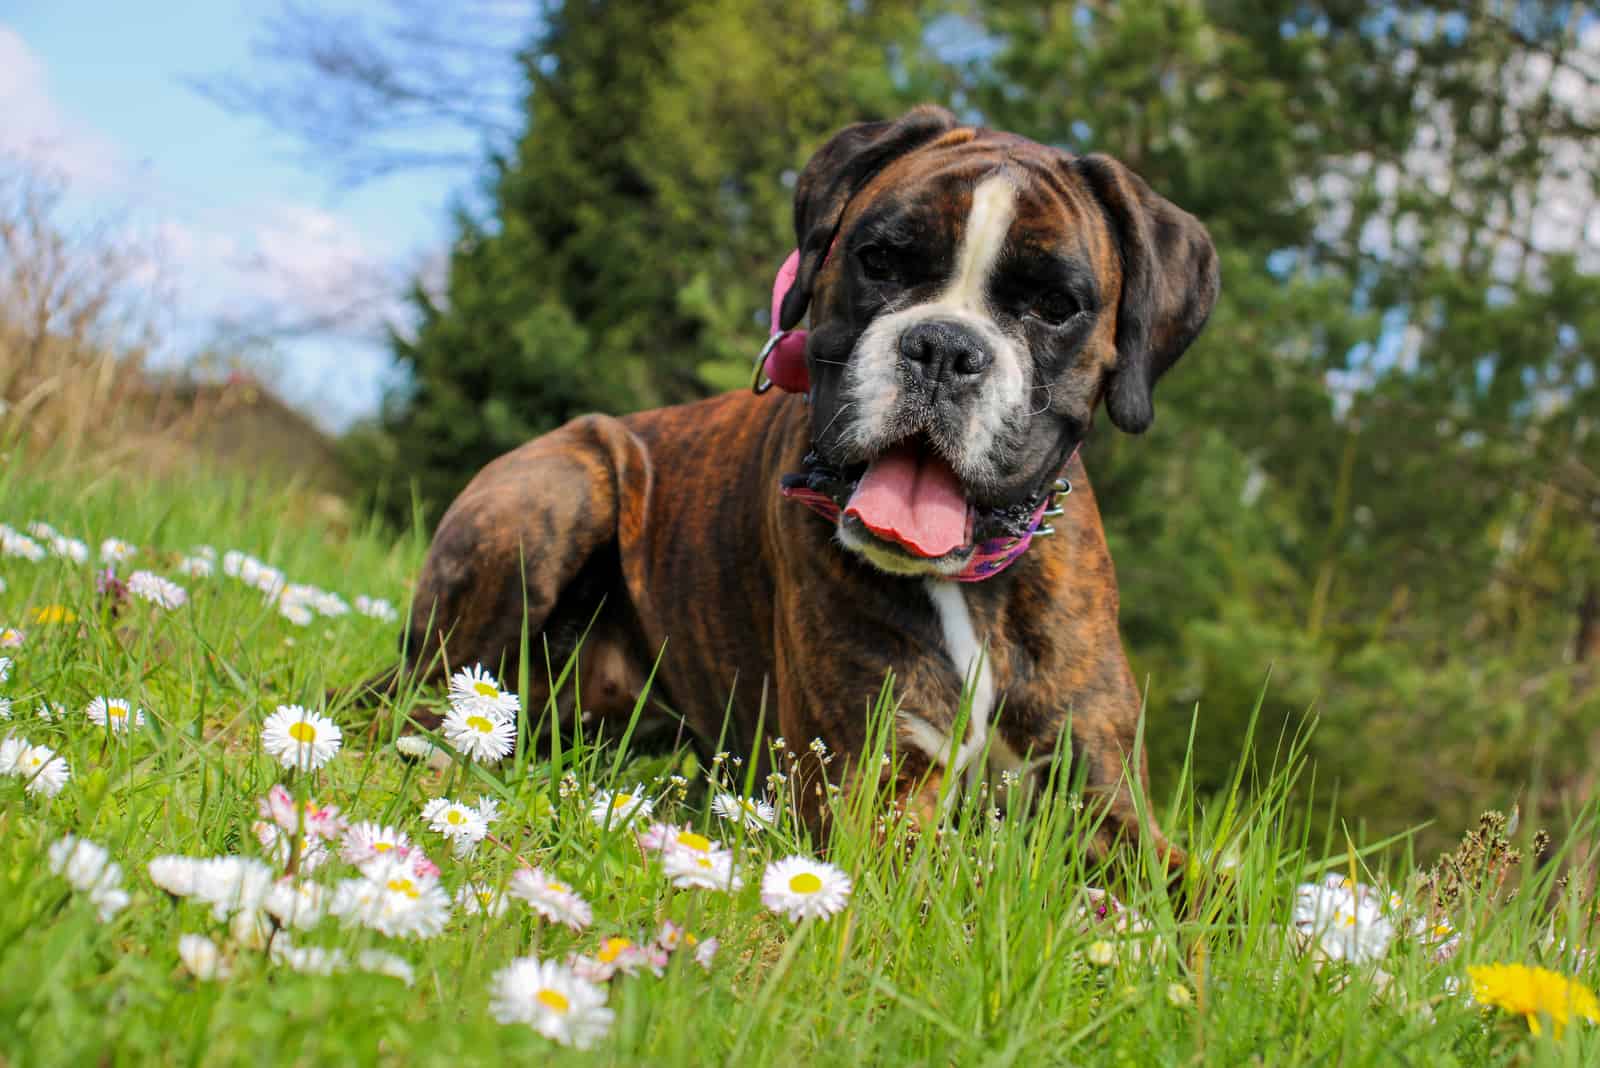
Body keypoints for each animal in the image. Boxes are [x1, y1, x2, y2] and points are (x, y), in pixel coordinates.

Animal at [380, 103, 1216, 863]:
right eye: (881, 261)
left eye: (1054, 305)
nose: (944, 347)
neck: (970, 588)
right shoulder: (867, 796)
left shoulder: (1108, 810)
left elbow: (1209, 903)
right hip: (559, 489)